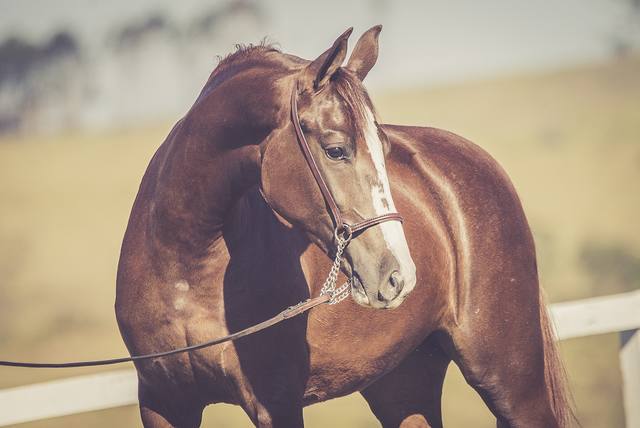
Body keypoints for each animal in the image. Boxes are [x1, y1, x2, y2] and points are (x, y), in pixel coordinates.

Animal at [115, 25, 576, 426]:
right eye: (336, 150)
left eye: (384, 148)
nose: (399, 276)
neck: (185, 262)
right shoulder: (164, 402)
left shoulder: (274, 404)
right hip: (403, 384)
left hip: (510, 380)